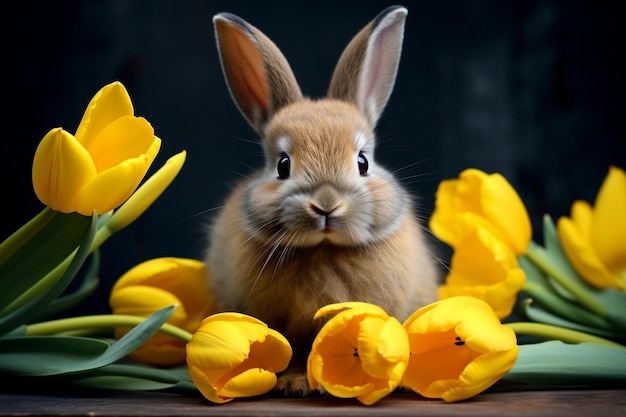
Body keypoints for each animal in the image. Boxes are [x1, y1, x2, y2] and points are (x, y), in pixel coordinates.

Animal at [207, 6, 436, 396]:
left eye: (363, 162)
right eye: (283, 165)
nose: (326, 204)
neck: (323, 249)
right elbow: (295, 352)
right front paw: (296, 384)